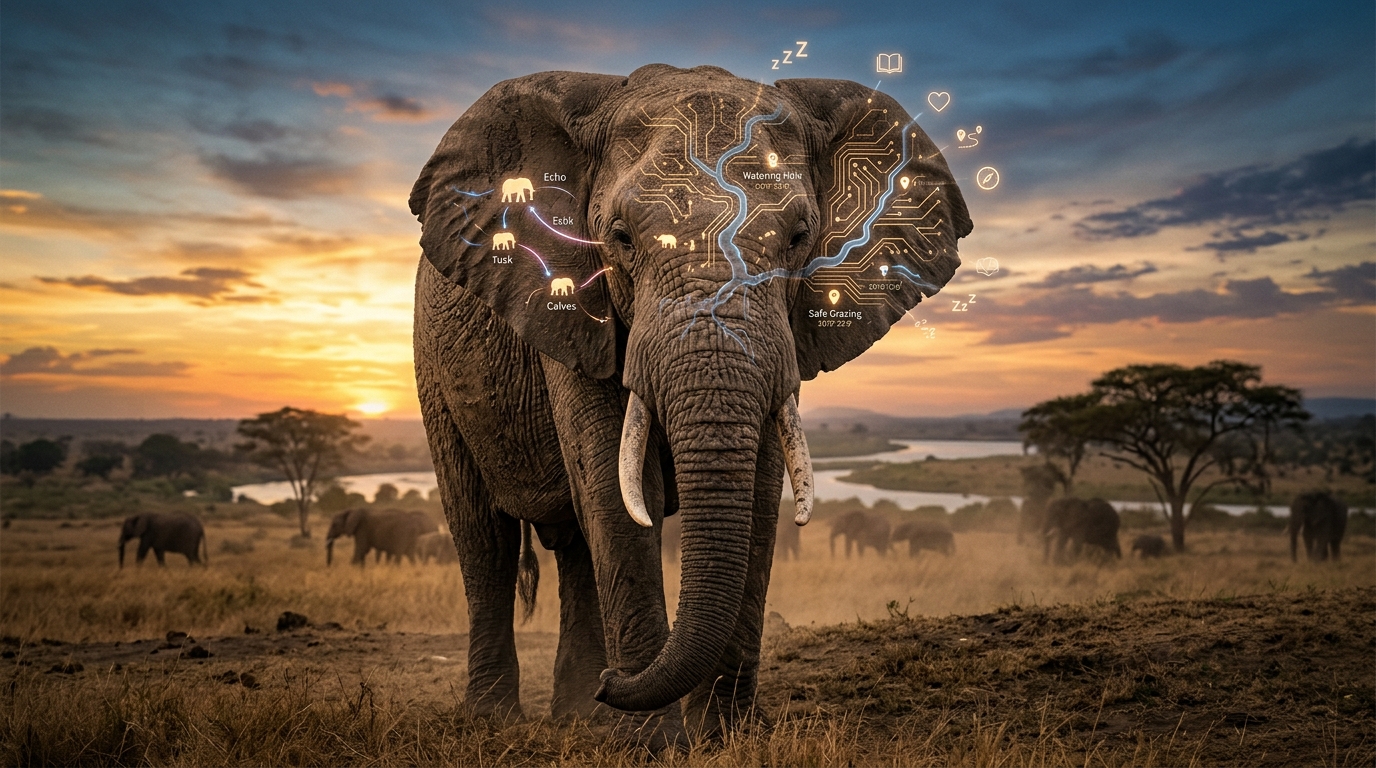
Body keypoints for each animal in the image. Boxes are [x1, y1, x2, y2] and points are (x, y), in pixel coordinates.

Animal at [410, 64, 969, 744]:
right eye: (620, 238)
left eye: (800, 238)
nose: (616, 685)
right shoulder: (572, 309)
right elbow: (615, 486)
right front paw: (650, 742)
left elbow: (759, 490)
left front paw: (725, 735)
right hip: (433, 368)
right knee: (483, 536)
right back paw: (507, 717)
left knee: (571, 548)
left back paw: (581, 713)